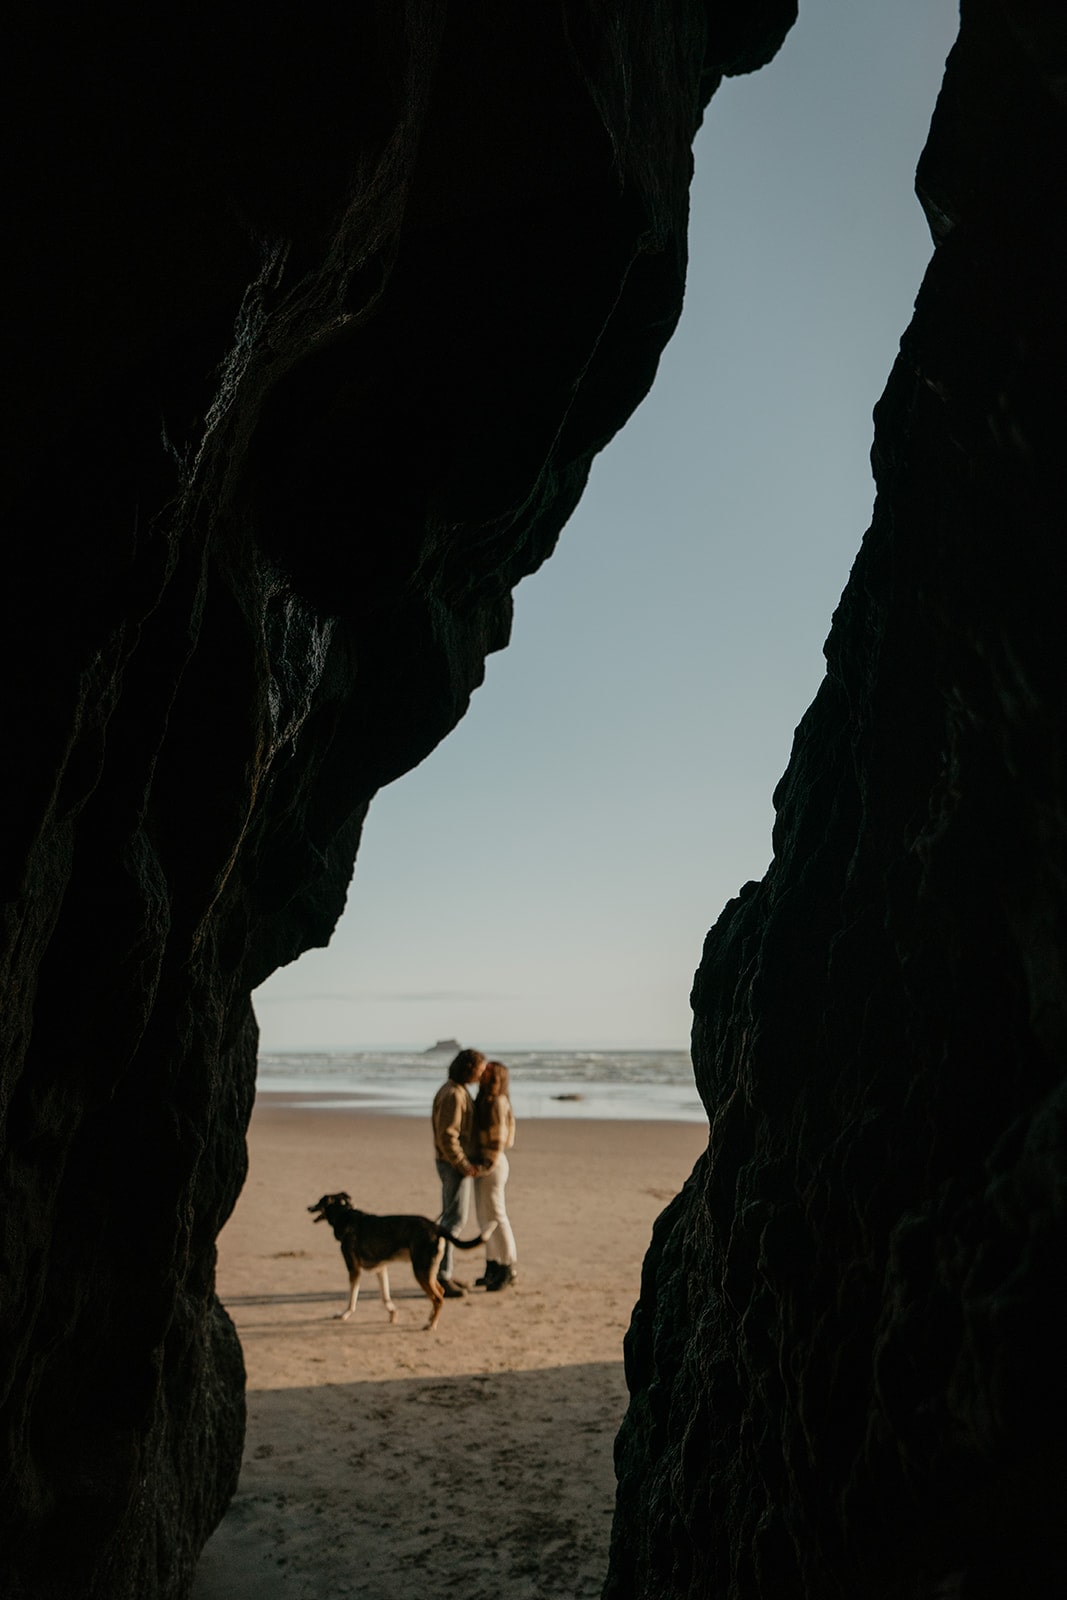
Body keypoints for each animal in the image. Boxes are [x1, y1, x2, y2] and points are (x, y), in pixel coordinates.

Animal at [307, 1196, 486, 1331]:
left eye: (320, 1202)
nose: (308, 1207)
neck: (346, 1217)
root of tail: (435, 1226)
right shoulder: (381, 1269)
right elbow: (385, 1297)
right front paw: (392, 1314)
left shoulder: (354, 1269)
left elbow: (352, 1299)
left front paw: (344, 1314)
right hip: (427, 1271)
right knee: (440, 1292)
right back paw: (430, 1318)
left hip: (420, 1272)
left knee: (438, 1298)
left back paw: (431, 1325)